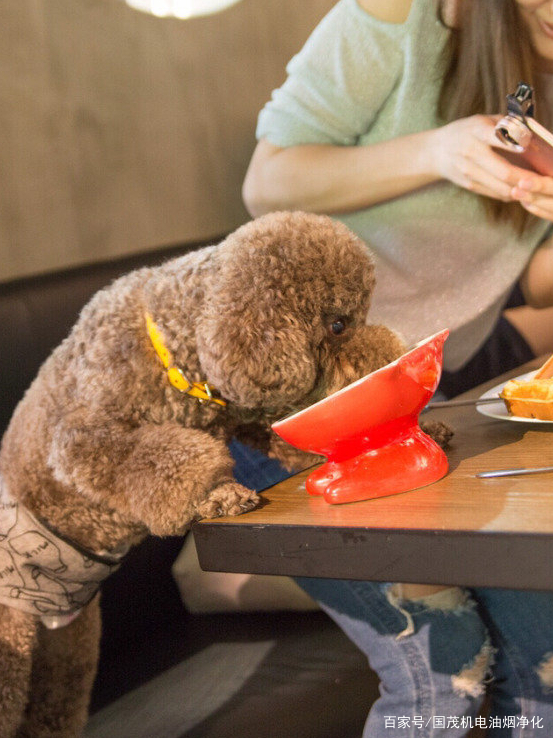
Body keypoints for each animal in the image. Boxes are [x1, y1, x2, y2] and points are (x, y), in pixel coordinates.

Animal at [0, 210, 414, 732]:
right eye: (339, 324)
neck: (174, 353)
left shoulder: (247, 412)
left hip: (67, 651)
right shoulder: (86, 441)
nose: (395, 357)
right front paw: (217, 495)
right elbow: (168, 461)